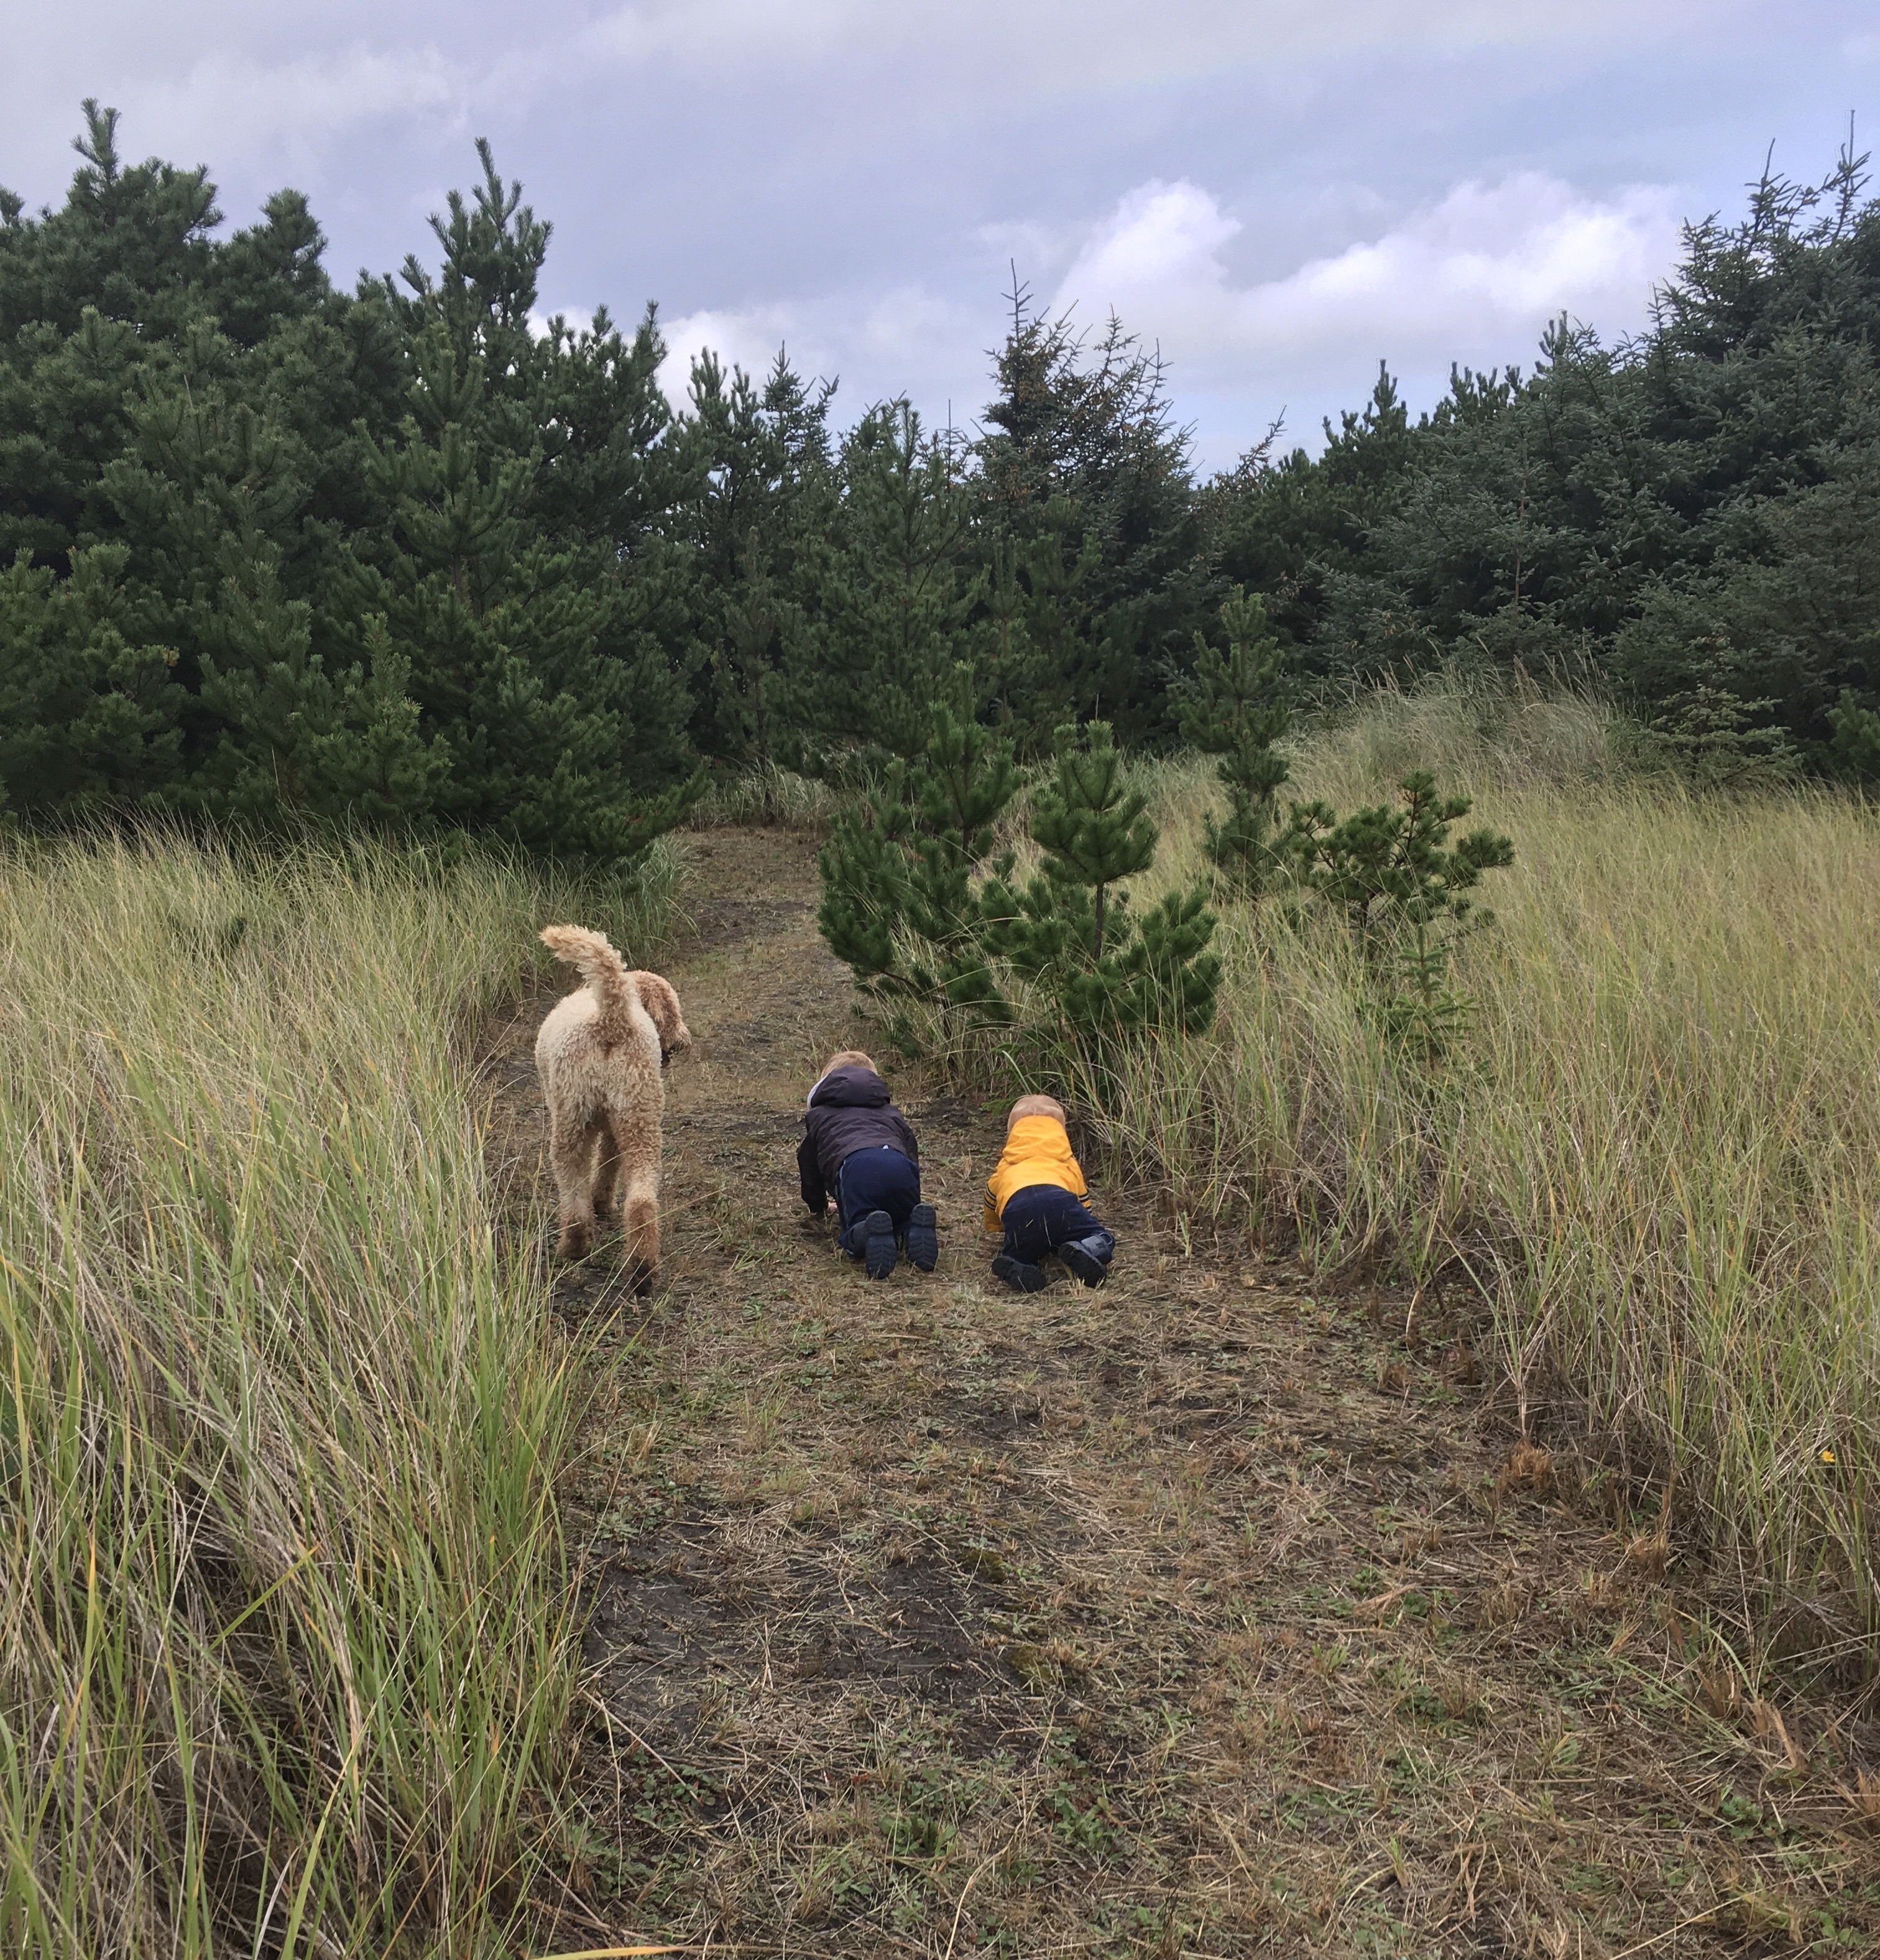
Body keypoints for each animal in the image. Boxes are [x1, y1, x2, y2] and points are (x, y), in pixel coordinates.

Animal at [537, 921, 689, 1278]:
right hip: (640, 1120)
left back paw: (574, 1245)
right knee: (642, 1200)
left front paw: (599, 1206)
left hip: (571, 1124)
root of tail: (612, 1019)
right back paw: (641, 1269)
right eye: (673, 1011)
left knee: (573, 1189)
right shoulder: (613, 1127)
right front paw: (603, 1203)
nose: (683, 1041)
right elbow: (608, 1166)